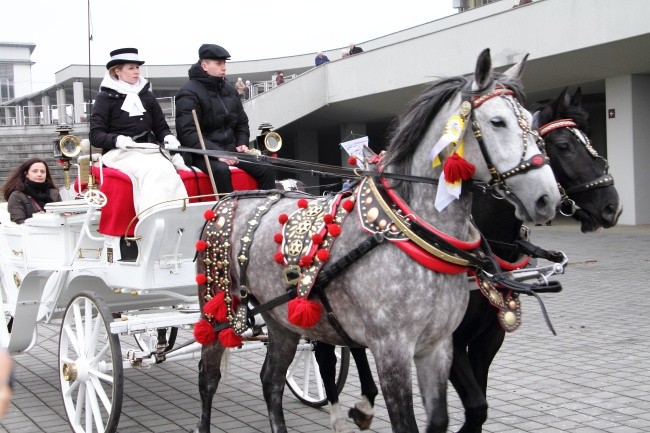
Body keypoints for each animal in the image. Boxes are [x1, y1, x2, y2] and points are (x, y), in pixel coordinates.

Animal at [312, 86, 620, 430]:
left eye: (589, 138)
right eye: (563, 146)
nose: (611, 206)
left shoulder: (489, 337)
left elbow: (480, 403)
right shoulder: (452, 341)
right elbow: (476, 404)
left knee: (352, 344)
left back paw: (365, 403)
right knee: (325, 354)